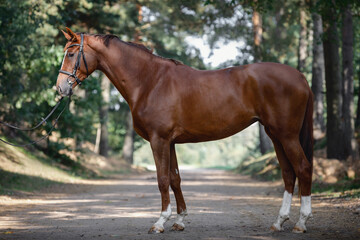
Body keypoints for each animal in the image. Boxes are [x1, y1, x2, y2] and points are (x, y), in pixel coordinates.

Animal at [56, 27, 312, 232]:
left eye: (71, 53)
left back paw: (301, 223)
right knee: (288, 173)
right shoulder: (170, 142)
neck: (150, 81)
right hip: (275, 135)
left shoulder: (158, 140)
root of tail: (300, 76)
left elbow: (161, 179)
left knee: (303, 168)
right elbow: (175, 178)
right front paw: (179, 220)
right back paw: (279, 222)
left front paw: (160, 222)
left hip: (287, 135)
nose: (60, 88)